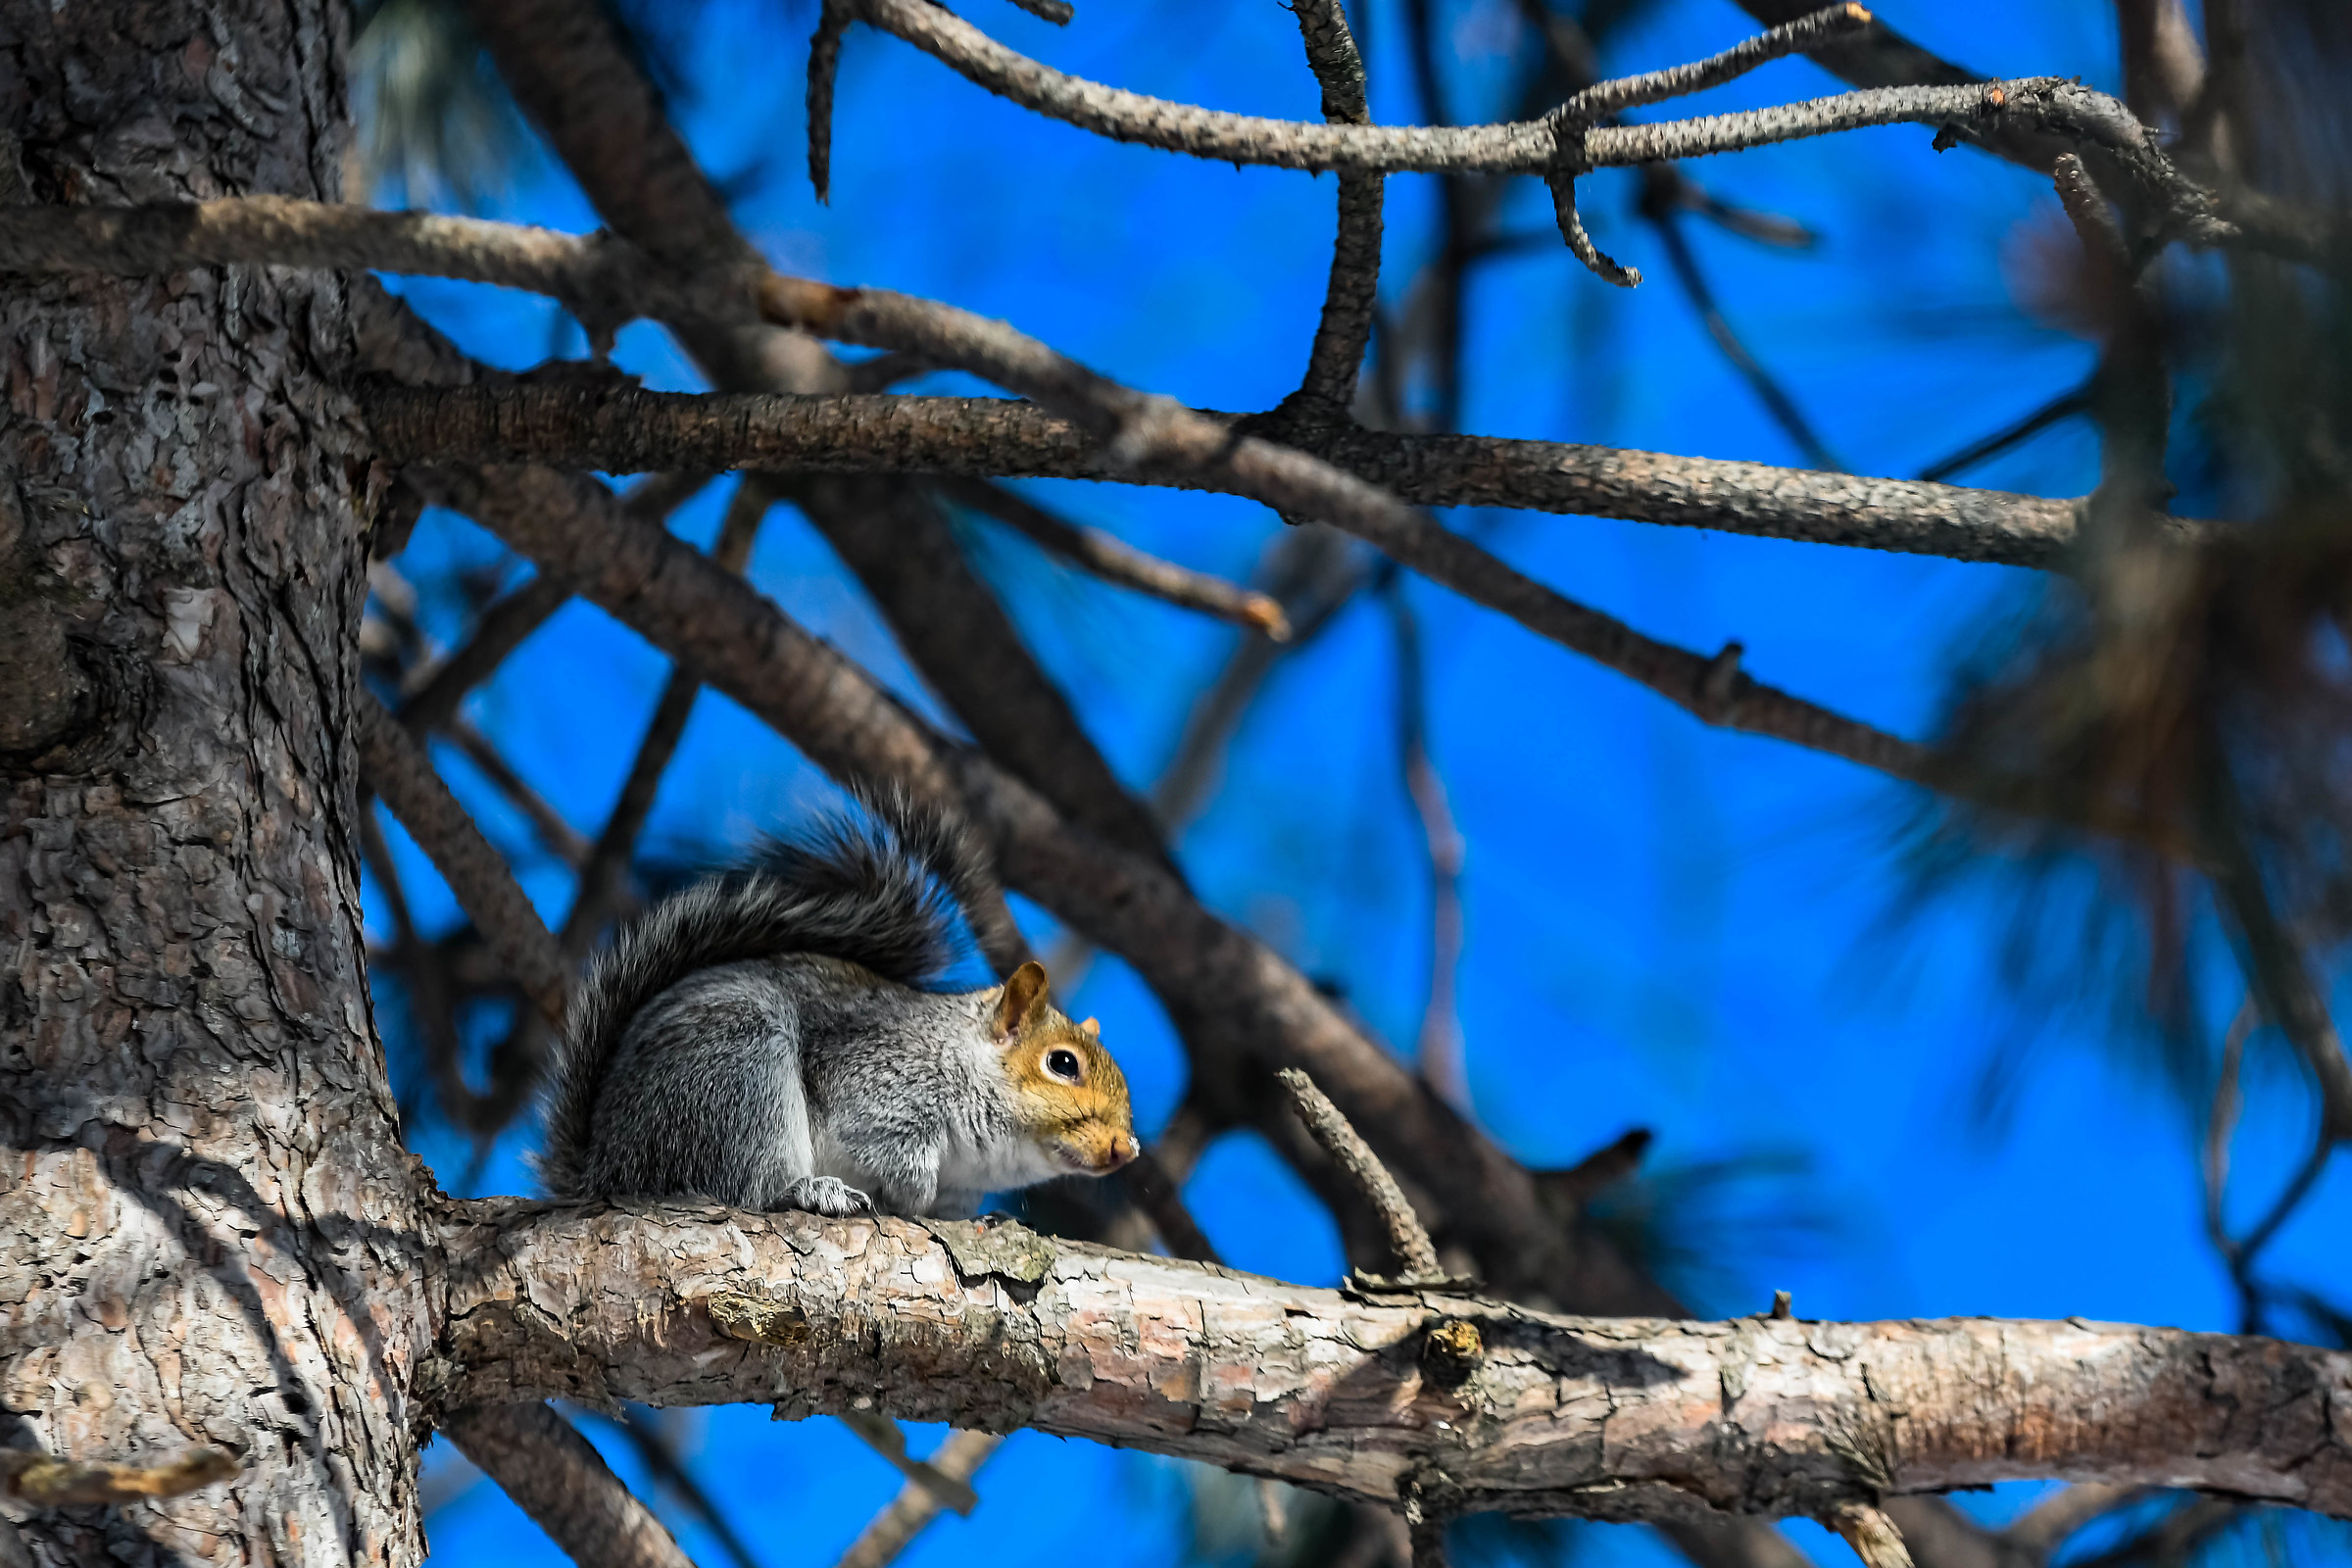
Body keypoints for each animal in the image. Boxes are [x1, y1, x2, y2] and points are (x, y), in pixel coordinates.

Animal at [536, 794, 1139, 1219]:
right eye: (1062, 1063)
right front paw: (912, 1193)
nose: (1125, 1149)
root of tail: (604, 1168)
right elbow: (885, 1147)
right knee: (740, 1186)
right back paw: (812, 1191)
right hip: (737, 1071)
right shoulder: (879, 1084)